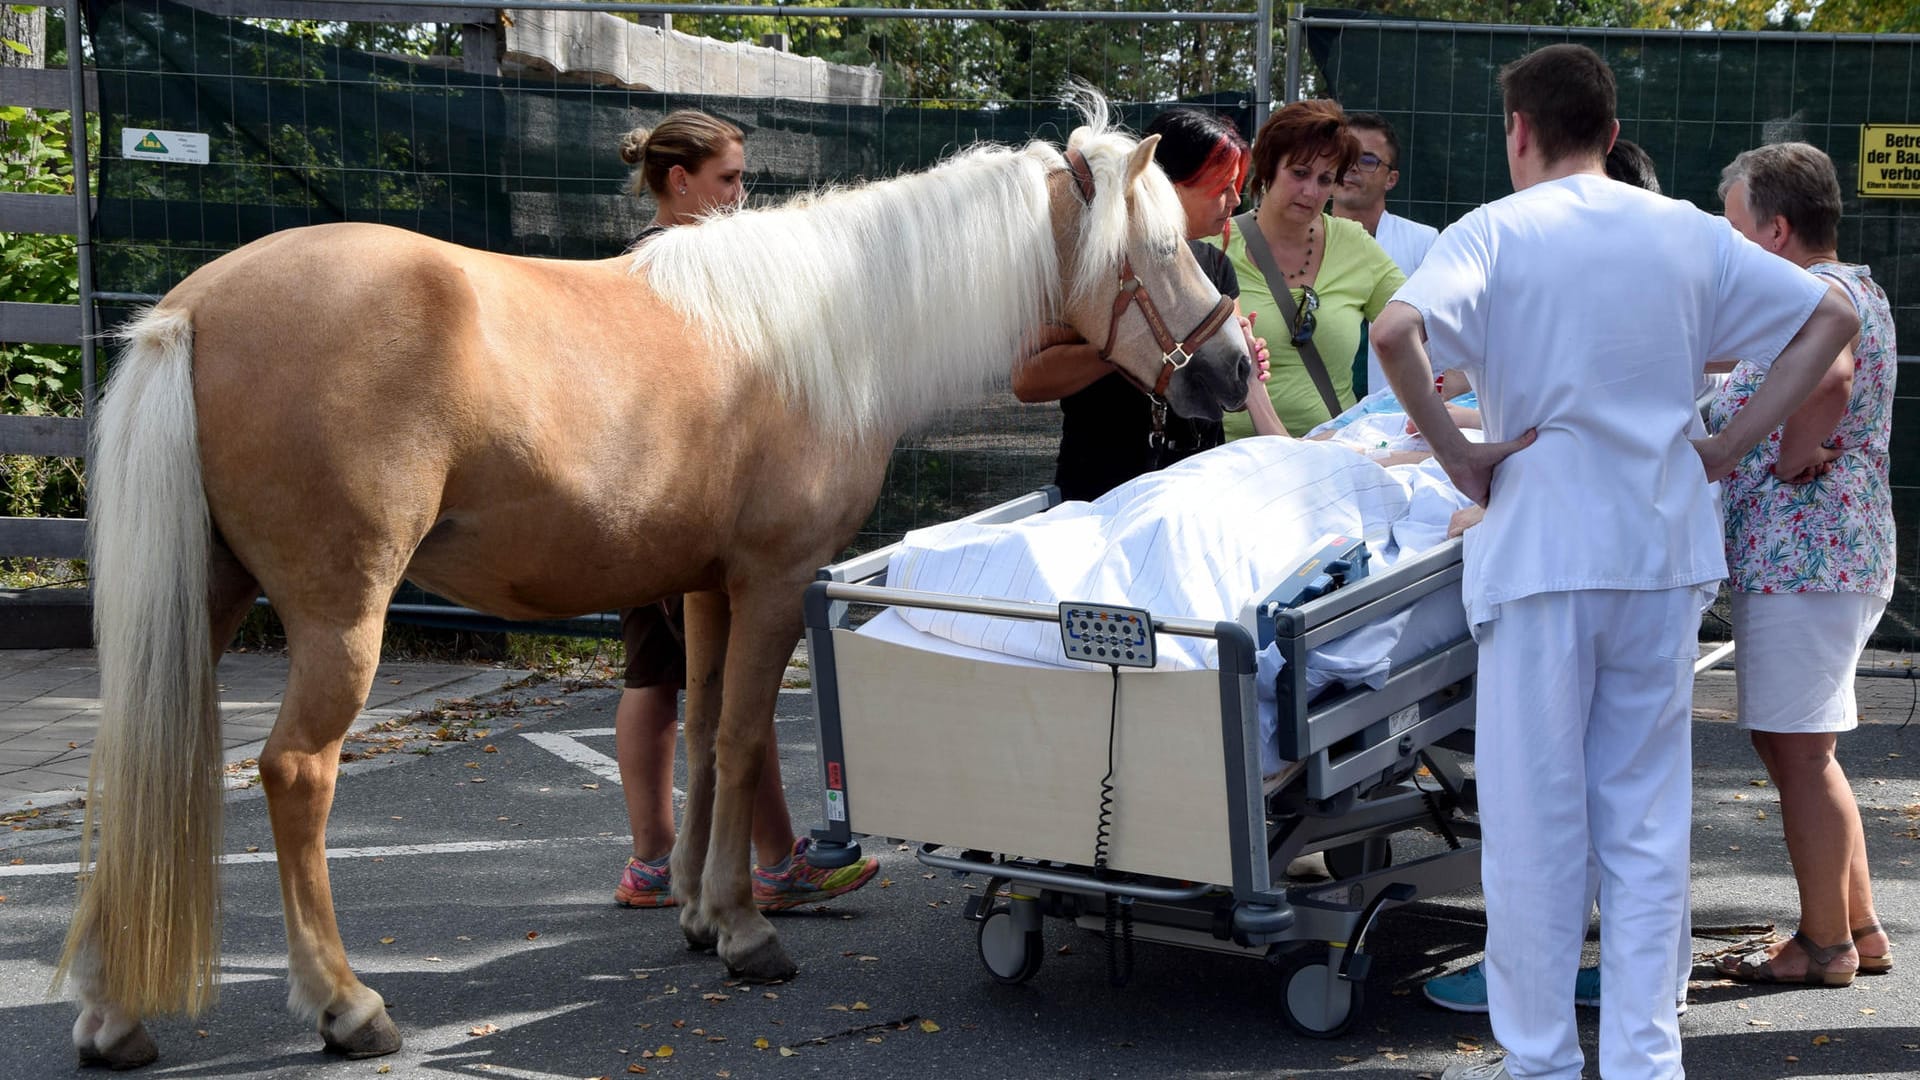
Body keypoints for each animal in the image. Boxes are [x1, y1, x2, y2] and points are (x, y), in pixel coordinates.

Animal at [52, 88, 1251, 1060]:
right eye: (1160, 250)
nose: (1234, 371)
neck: (827, 329)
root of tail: (193, 309)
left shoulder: (707, 587)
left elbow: (711, 731)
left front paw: (701, 914)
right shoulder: (772, 582)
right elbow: (746, 735)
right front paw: (749, 932)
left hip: (208, 601)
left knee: (138, 760)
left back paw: (112, 1017)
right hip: (342, 617)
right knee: (297, 774)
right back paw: (347, 1007)